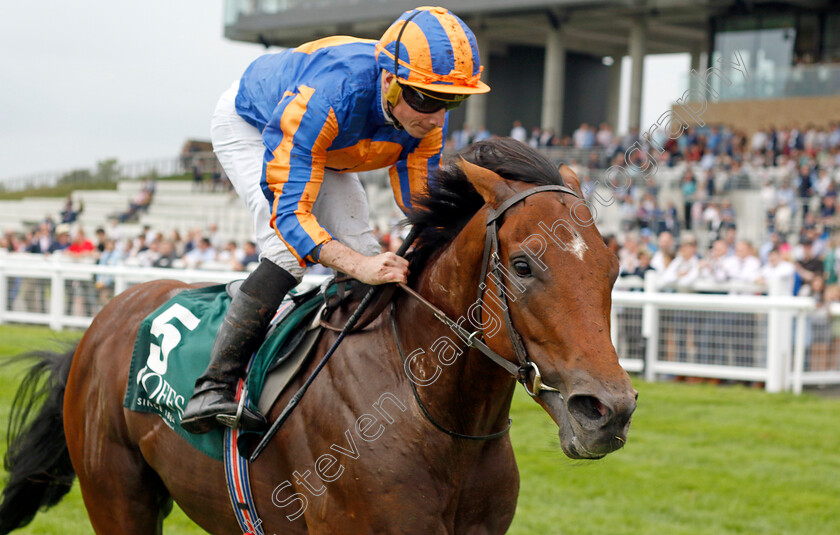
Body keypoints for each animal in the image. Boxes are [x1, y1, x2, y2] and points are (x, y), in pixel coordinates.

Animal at [0, 139, 636, 535]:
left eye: (612, 266)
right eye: (524, 266)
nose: (608, 411)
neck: (432, 415)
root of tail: (102, 323)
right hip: (115, 495)